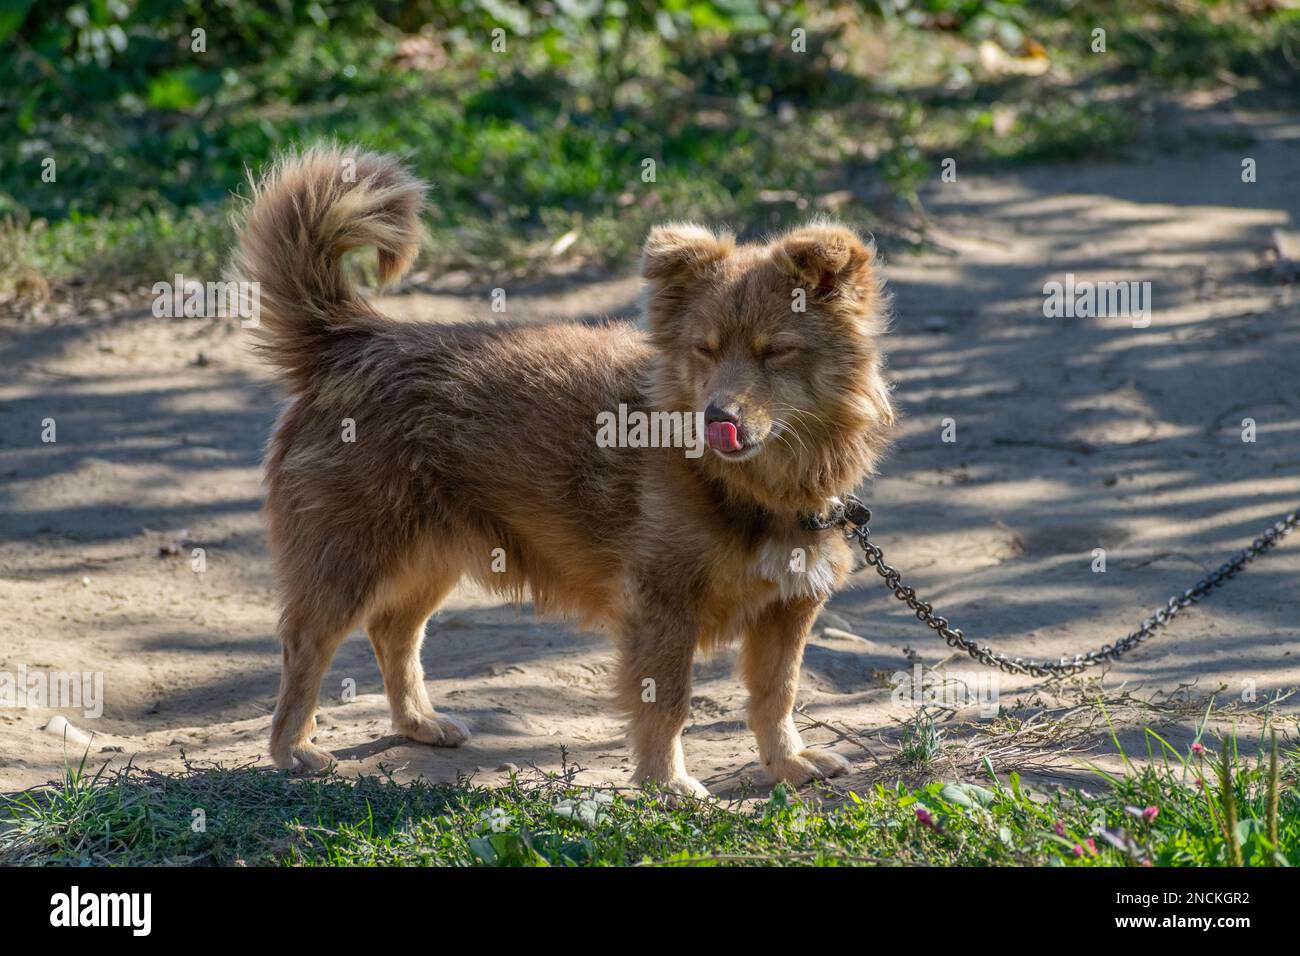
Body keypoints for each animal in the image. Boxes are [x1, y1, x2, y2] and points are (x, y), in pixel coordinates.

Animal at [233, 145, 894, 796]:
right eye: (704, 350)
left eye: (775, 352)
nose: (717, 418)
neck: (754, 483)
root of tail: (358, 339)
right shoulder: (662, 603)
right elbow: (668, 703)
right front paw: (666, 783)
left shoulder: (789, 608)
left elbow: (777, 696)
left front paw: (787, 763)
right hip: (352, 558)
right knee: (307, 645)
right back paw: (292, 748)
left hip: (430, 557)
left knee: (393, 633)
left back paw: (417, 723)